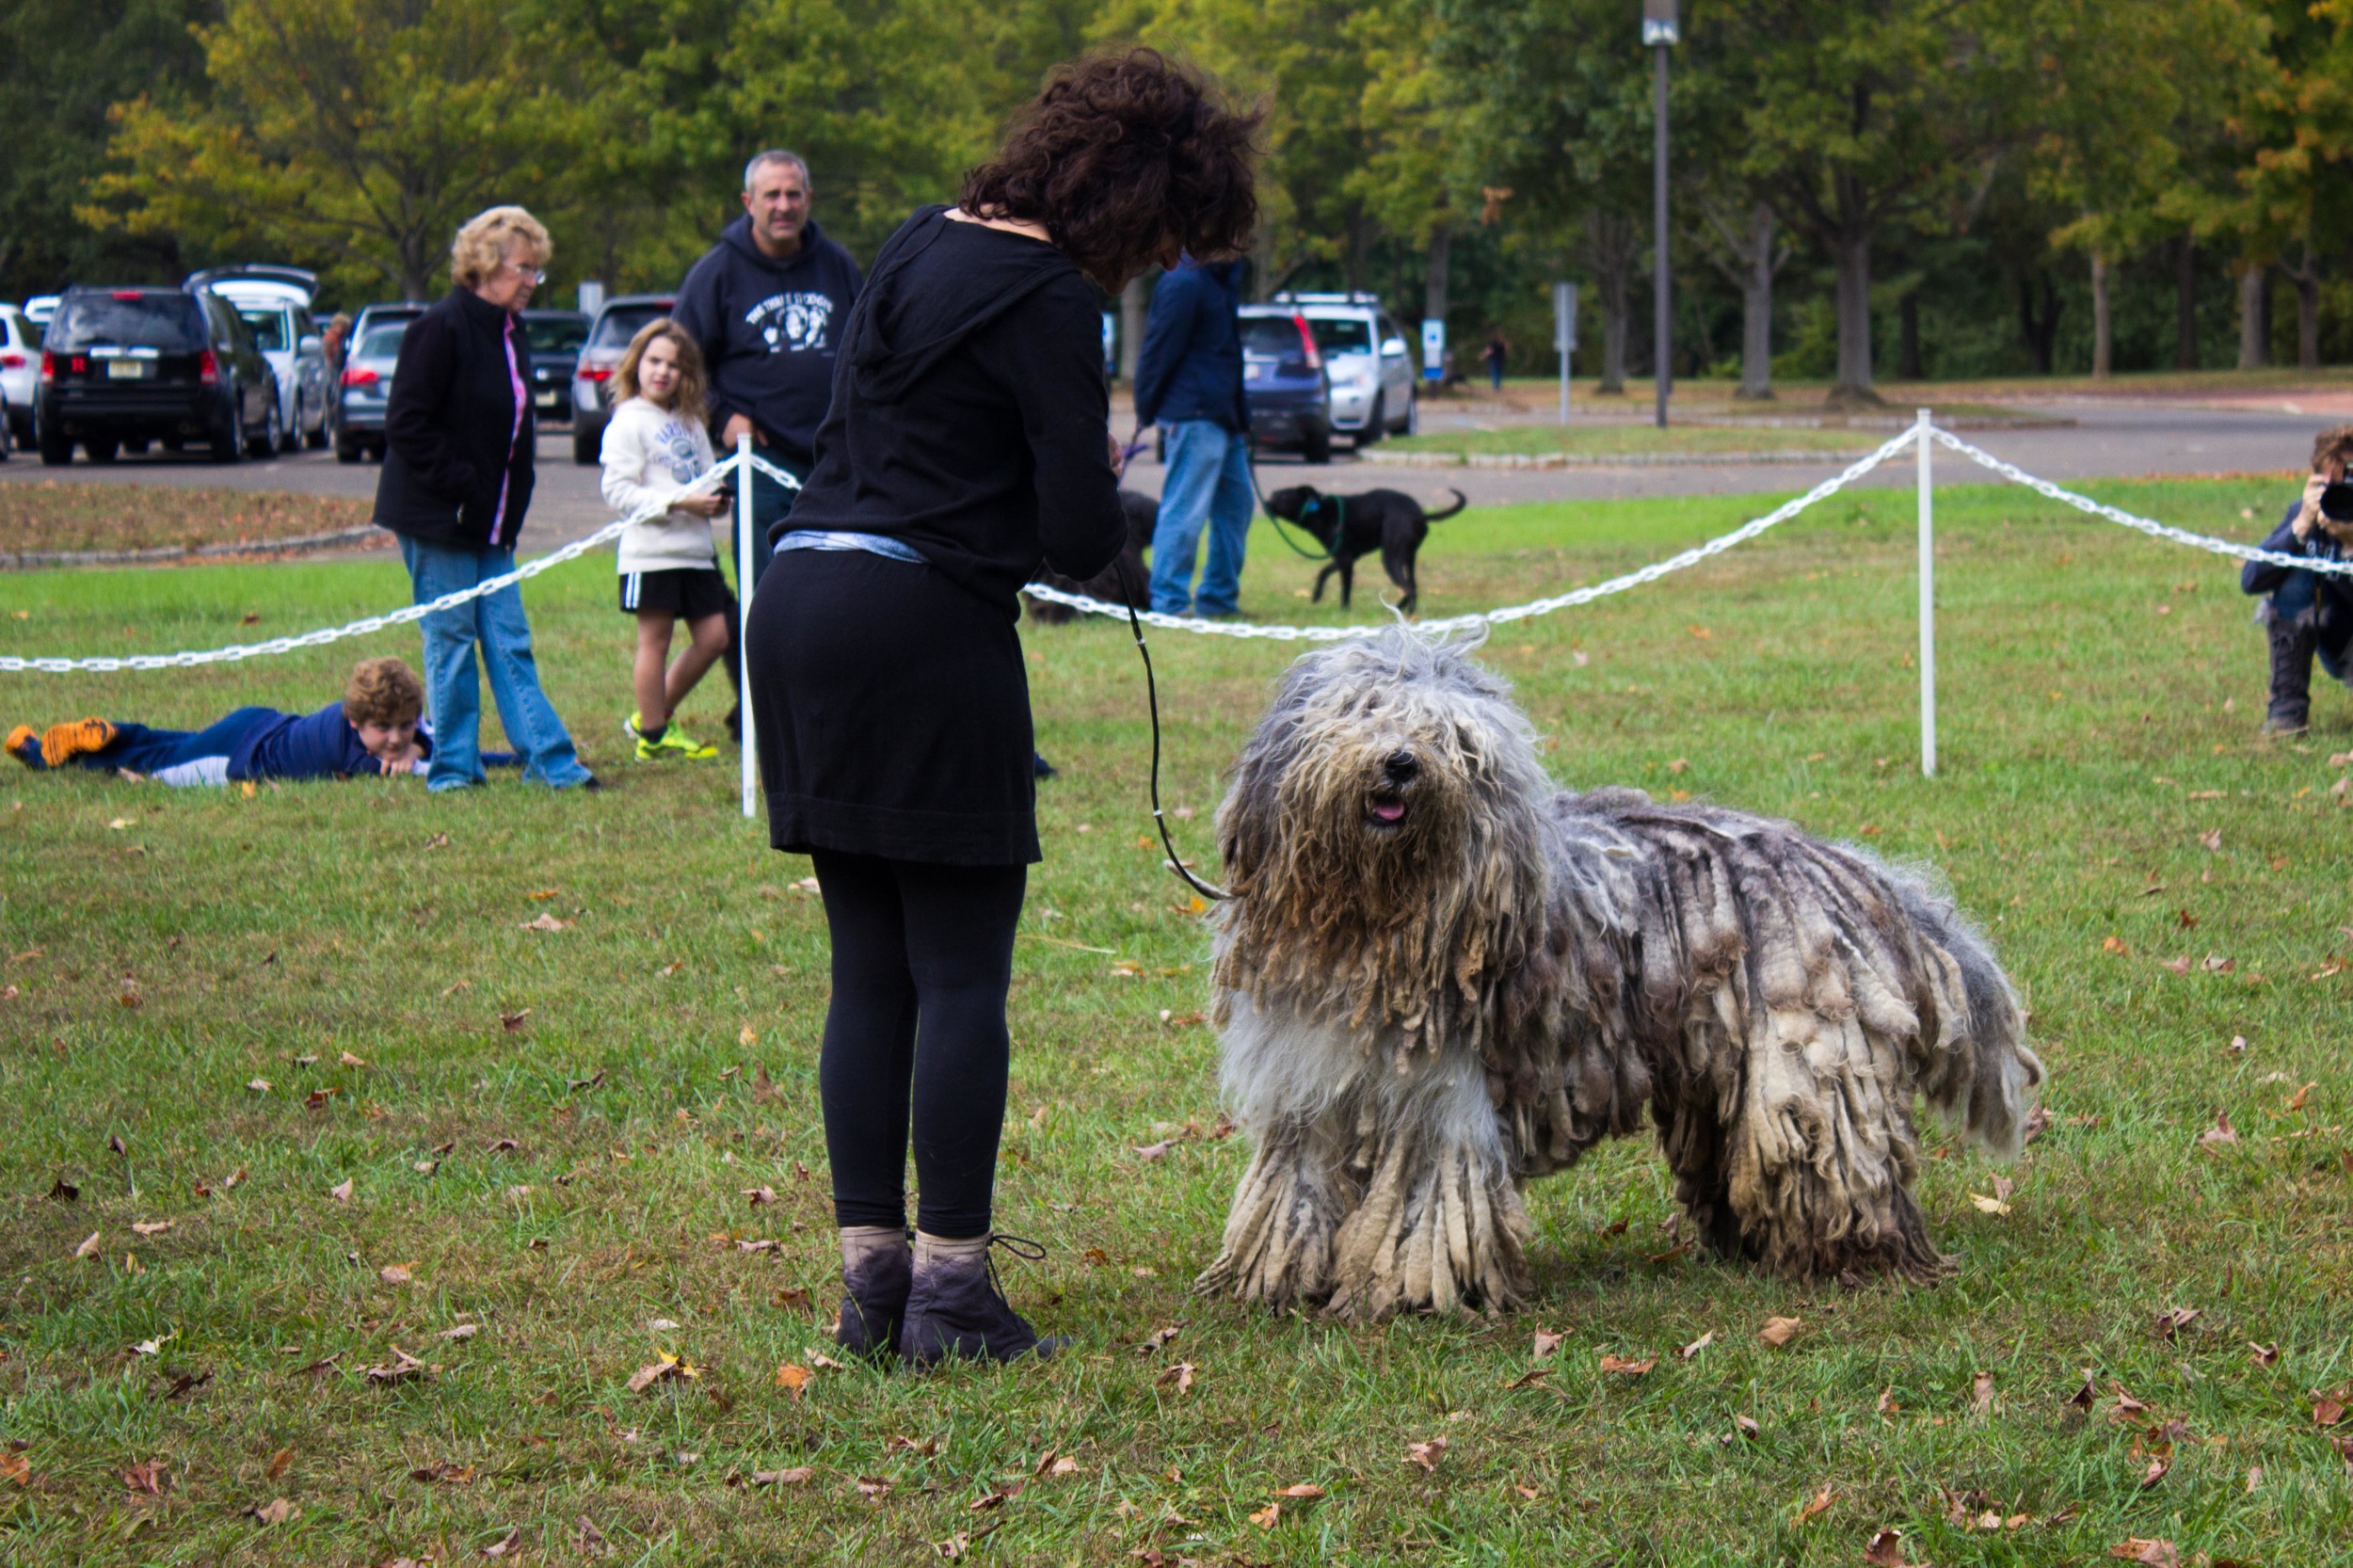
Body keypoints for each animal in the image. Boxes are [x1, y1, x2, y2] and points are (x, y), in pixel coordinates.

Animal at [1195, 631, 2042, 1308]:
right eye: (1364, 709)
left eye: (1455, 743)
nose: (1402, 763)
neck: (1374, 920)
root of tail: (1840, 867)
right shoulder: (1306, 1083)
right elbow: (1294, 1188)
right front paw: (1276, 1277)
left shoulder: (1437, 1100)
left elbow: (1426, 1202)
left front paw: (1405, 1292)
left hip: (1807, 1068)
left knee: (1839, 1164)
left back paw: (1857, 1255)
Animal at [1261, 482, 1459, 612]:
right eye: (1273, 494)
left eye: (1282, 496)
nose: (1265, 503)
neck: (1318, 511)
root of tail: (1419, 513)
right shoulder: (1347, 559)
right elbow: (1329, 575)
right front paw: (1323, 597)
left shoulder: (1345, 559)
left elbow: (1341, 586)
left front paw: (1339, 608)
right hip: (1409, 558)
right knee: (1413, 586)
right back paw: (1400, 609)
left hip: (1391, 557)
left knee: (1409, 588)